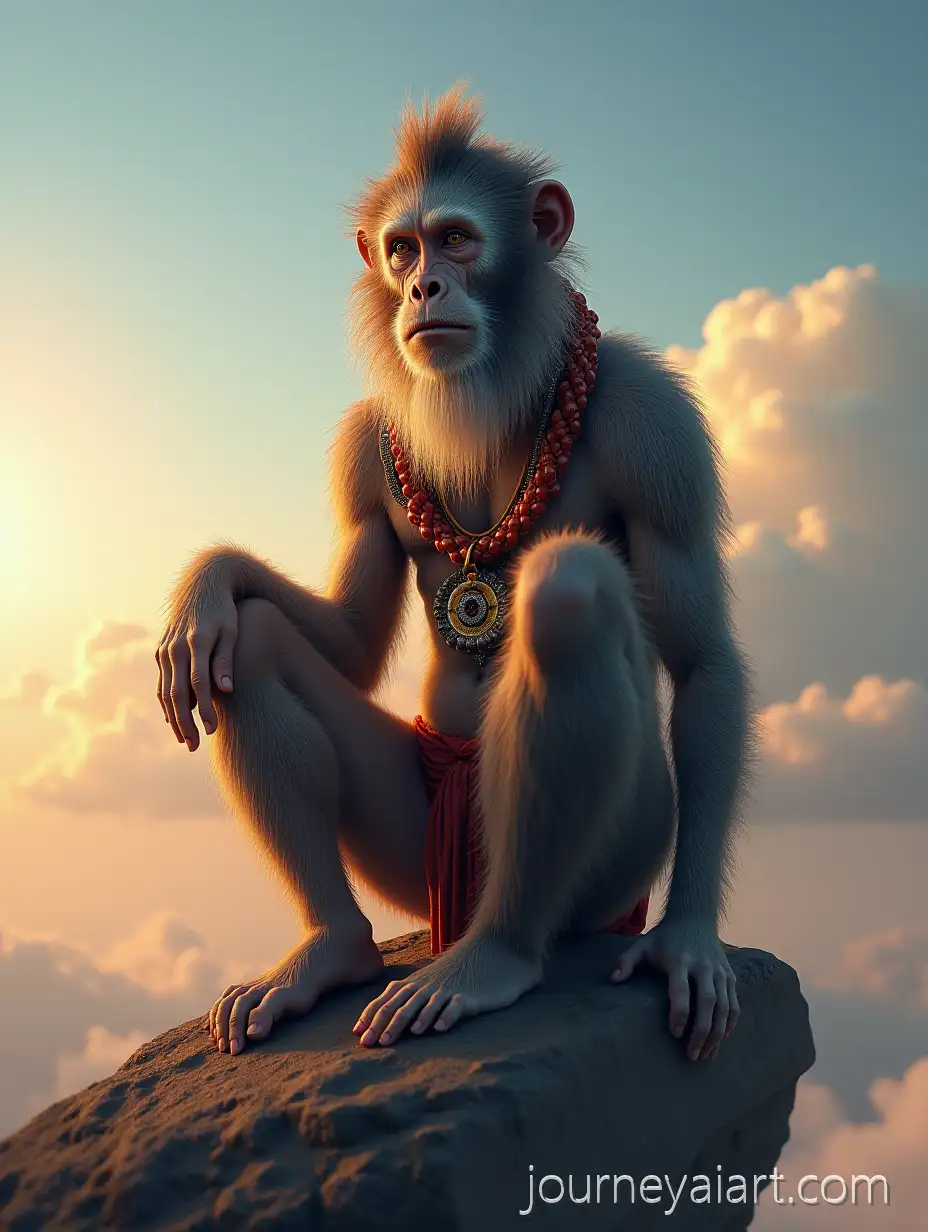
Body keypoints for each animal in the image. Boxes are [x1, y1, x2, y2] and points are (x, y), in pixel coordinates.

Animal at [156, 84, 752, 1064]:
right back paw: (332, 950)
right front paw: (208, 575)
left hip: (610, 880)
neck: (500, 384)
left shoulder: (656, 425)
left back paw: (493, 961)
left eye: (459, 239)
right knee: (248, 642)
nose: (422, 288)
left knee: (571, 595)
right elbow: (349, 639)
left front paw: (692, 937)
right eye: (403, 248)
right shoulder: (363, 448)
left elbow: (703, 661)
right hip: (417, 854)